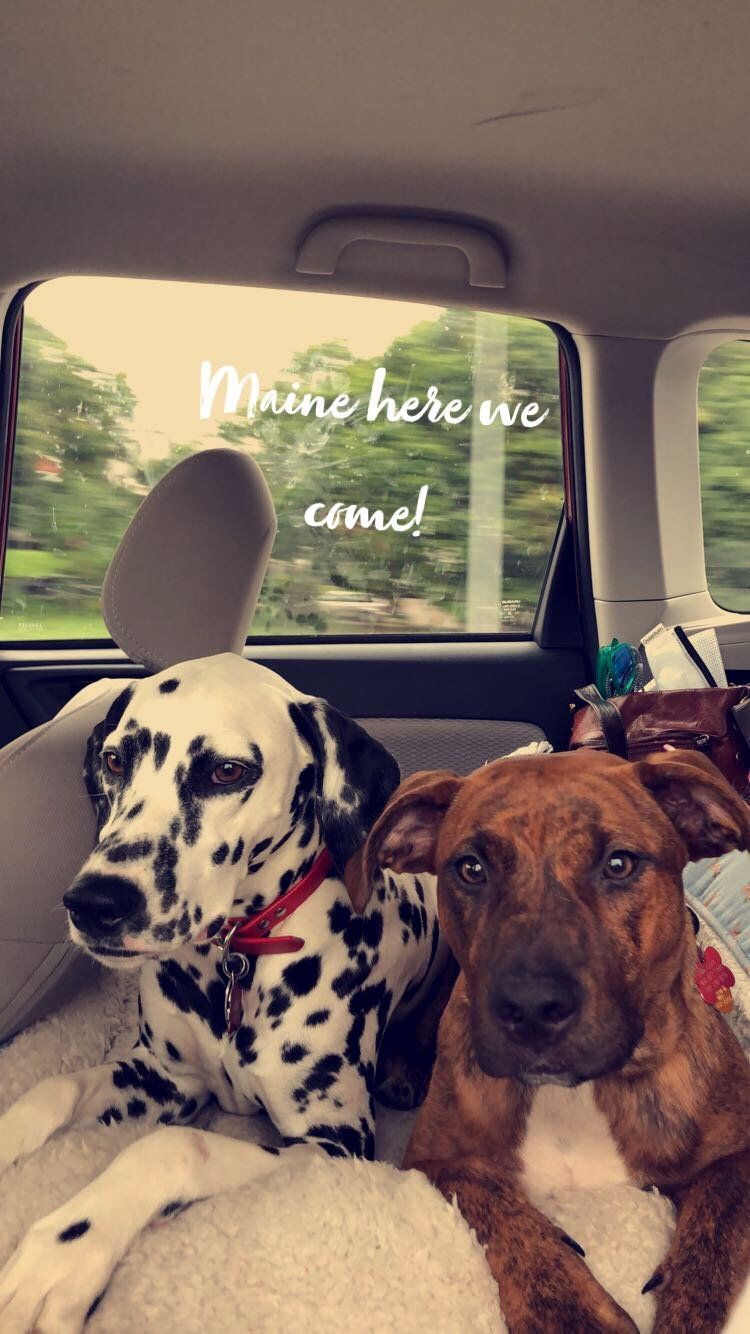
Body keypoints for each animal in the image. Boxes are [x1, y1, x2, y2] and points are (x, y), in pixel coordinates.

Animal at [0, 652, 445, 1333]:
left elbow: (175, 1147)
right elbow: (55, 1089)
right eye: (115, 760)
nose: (94, 903)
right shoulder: (161, 1078)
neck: (235, 959)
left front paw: (62, 1255)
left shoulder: (334, 1144)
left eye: (226, 771)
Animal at [361, 747, 750, 1333]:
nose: (531, 1008)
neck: (578, 1096)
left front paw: (685, 1307)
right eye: (471, 869)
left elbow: (717, 1223)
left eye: (619, 864)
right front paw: (572, 1311)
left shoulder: (738, 1151)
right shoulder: (437, 1161)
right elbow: (501, 1211)